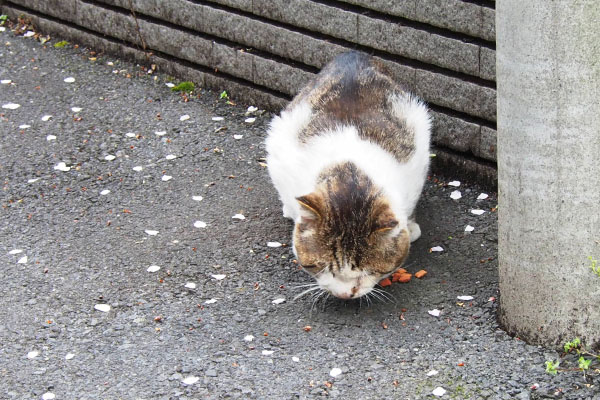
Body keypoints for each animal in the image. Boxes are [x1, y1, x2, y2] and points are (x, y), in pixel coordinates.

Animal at [264, 50, 428, 300]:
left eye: (368, 271)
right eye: (322, 266)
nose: (344, 294)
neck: (349, 175)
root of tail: (354, 54)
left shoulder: (416, 164)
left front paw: (409, 226)